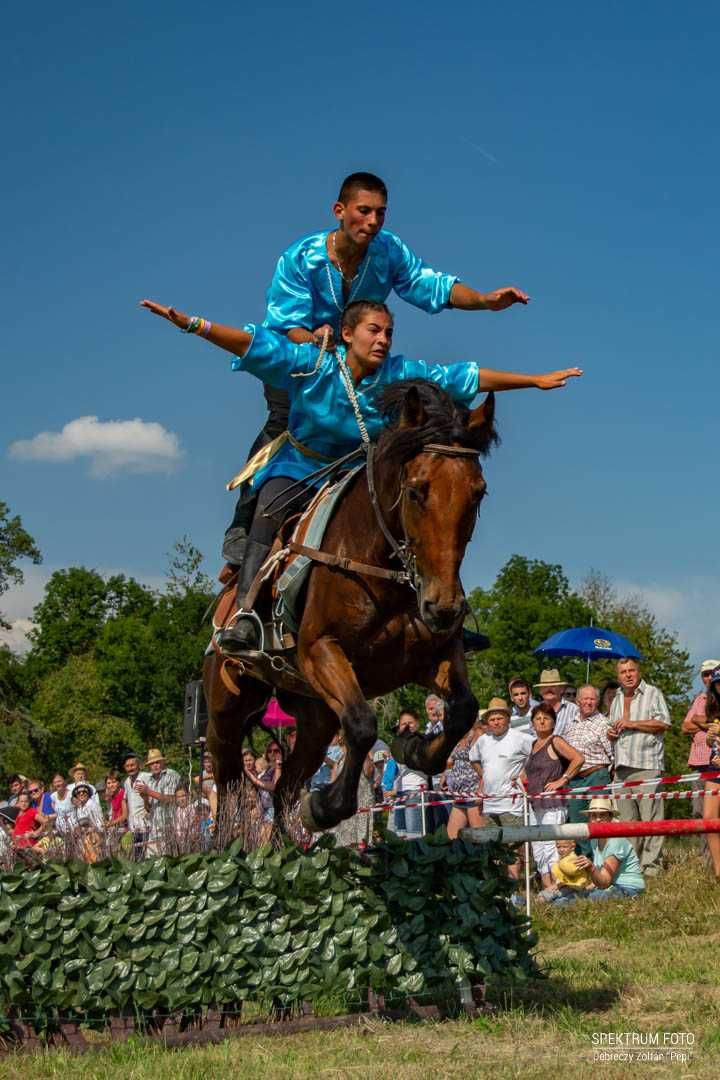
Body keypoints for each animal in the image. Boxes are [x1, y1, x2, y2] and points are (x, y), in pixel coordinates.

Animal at [201, 380, 496, 833]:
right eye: (416, 490)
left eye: (478, 493)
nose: (443, 607)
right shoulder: (320, 650)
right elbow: (360, 725)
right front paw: (326, 806)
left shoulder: (433, 654)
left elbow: (463, 709)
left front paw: (413, 747)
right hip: (226, 708)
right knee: (230, 785)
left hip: (314, 715)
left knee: (285, 787)